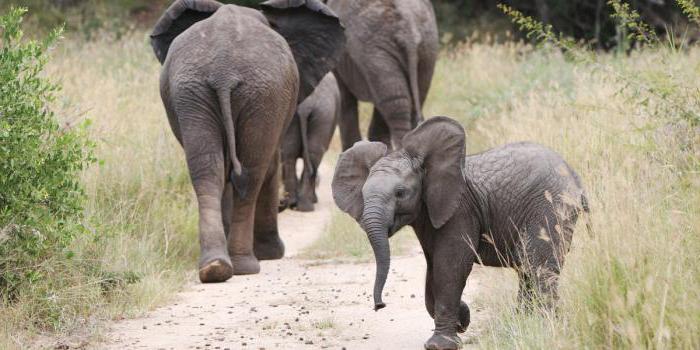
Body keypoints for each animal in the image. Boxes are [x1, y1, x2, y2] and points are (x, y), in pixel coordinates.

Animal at [278, 72, 340, 212]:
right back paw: (304, 205)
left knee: (292, 153)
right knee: (312, 155)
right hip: (324, 113)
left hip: (320, 113)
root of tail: (306, 104)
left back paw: (297, 205)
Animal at [324, 0, 438, 149]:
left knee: (395, 103)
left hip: (375, 50)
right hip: (427, 46)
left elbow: (345, 99)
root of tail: (408, 32)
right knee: (410, 98)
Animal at [330, 116, 588, 348]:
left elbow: (450, 267)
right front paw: (462, 319)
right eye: (363, 195)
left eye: (400, 193)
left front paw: (441, 343)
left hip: (551, 207)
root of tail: (574, 175)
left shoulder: (460, 210)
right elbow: (433, 270)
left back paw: (544, 327)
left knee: (539, 267)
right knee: (529, 268)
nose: (380, 306)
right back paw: (524, 325)